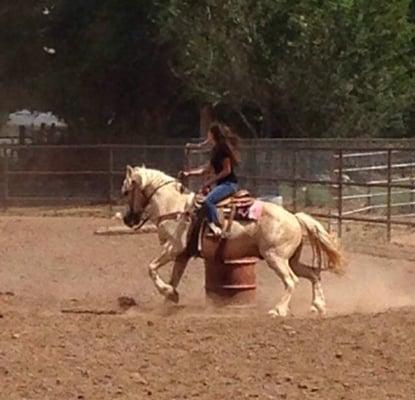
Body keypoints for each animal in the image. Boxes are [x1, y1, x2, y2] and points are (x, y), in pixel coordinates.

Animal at [122, 164, 346, 318]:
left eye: (125, 191)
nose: (127, 219)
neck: (174, 207)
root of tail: (294, 218)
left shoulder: (173, 248)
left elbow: (151, 268)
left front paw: (168, 293)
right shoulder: (182, 255)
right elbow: (173, 278)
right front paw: (169, 298)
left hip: (276, 257)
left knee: (291, 280)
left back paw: (278, 310)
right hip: (292, 259)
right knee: (313, 274)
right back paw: (318, 306)